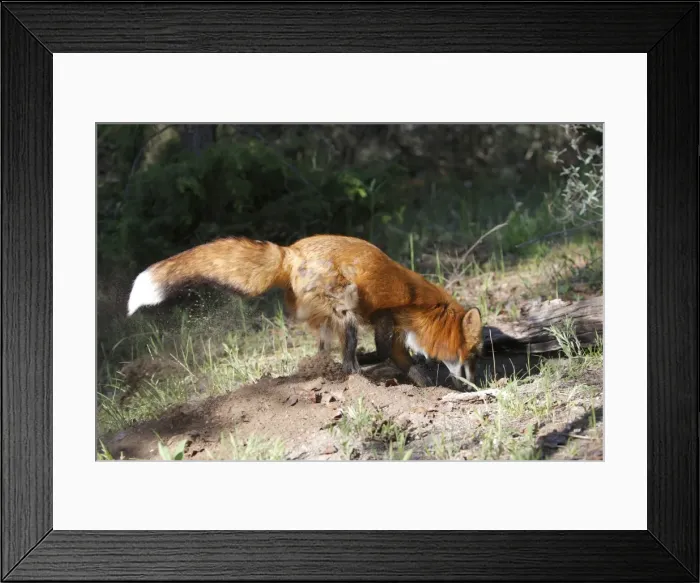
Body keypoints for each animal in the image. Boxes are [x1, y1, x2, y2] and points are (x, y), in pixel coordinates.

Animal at [127, 234, 483, 388]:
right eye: (473, 356)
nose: (475, 383)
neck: (425, 307)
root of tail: (290, 251)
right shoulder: (388, 320)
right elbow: (395, 357)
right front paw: (418, 379)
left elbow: (395, 356)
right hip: (346, 313)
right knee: (348, 363)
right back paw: (363, 377)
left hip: (330, 318)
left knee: (326, 353)